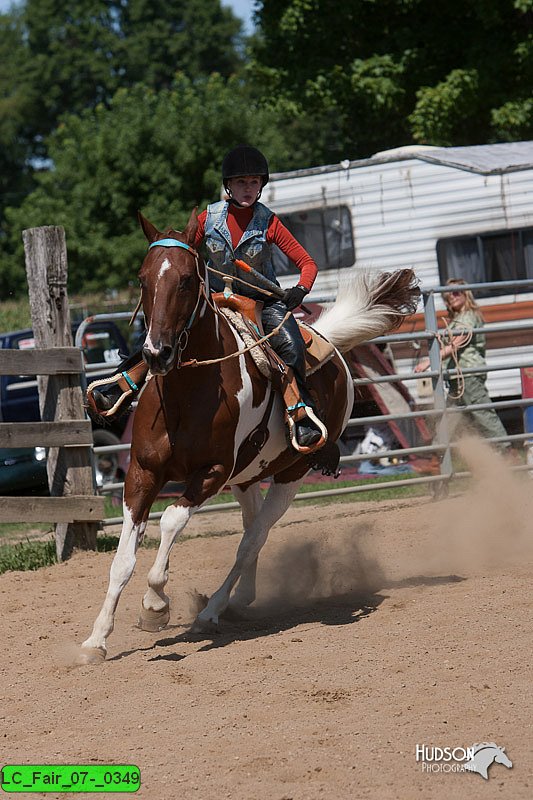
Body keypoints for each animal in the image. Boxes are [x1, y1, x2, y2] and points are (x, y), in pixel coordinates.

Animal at [79, 208, 420, 664]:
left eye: (186, 279)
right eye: (142, 278)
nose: (156, 354)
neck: (187, 391)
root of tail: (329, 343)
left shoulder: (213, 473)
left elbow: (171, 521)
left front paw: (154, 606)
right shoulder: (141, 473)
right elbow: (122, 560)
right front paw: (96, 640)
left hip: (290, 474)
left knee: (253, 538)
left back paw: (212, 611)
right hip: (247, 477)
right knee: (249, 529)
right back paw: (239, 599)